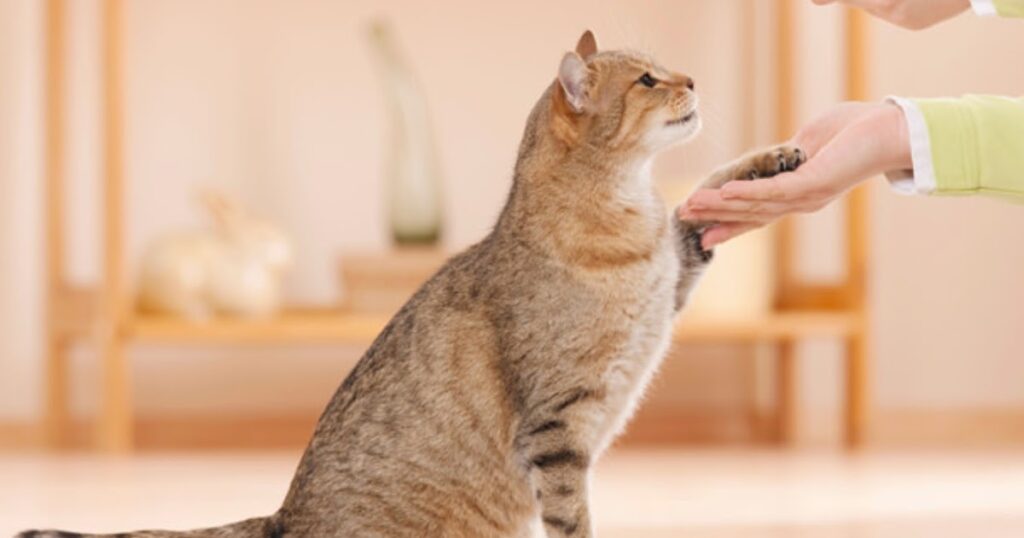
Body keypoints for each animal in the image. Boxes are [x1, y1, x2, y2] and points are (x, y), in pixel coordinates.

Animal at [22, 30, 798, 536]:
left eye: (663, 69)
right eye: (646, 81)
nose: (692, 81)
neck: (627, 208)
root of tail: (282, 516)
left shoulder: (673, 276)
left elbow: (705, 194)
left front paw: (775, 159)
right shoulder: (556, 423)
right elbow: (572, 516)